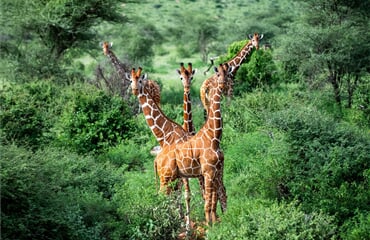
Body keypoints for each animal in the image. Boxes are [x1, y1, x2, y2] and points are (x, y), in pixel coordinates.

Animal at [154, 63, 230, 225]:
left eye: (228, 74)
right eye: (218, 75)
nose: (223, 85)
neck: (213, 137)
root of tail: (157, 159)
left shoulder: (214, 171)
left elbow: (211, 201)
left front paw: (213, 223)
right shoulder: (208, 171)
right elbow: (208, 202)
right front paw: (210, 225)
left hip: (172, 178)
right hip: (166, 177)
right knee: (161, 197)